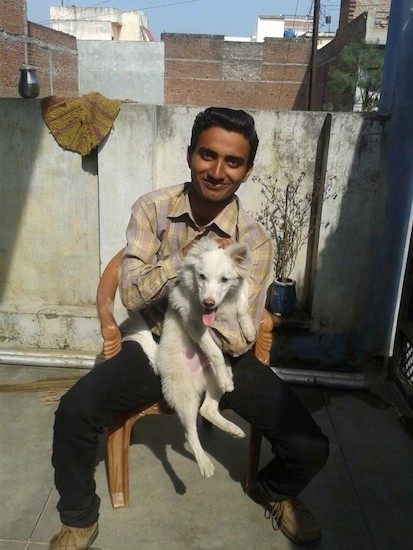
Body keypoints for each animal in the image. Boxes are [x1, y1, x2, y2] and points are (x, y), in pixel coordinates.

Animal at [124, 240, 256, 478]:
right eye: (201, 276)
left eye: (225, 279)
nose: (209, 302)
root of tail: (158, 359)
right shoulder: (193, 322)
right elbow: (214, 350)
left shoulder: (240, 288)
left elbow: (242, 304)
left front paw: (249, 330)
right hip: (185, 394)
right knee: (190, 434)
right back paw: (204, 463)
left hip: (214, 380)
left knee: (207, 409)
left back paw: (232, 427)